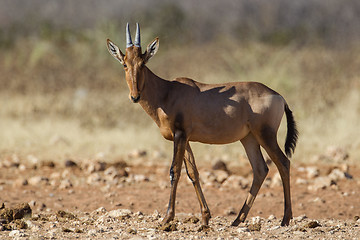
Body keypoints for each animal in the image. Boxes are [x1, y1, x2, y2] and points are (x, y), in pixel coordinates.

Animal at [107, 23, 298, 227]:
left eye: (143, 63)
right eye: (125, 63)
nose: (135, 96)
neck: (168, 91)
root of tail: (279, 96)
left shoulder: (180, 134)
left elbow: (175, 171)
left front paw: (167, 218)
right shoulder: (185, 138)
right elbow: (193, 172)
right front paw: (205, 217)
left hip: (266, 135)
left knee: (283, 163)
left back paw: (285, 219)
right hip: (249, 139)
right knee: (260, 169)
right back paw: (237, 220)